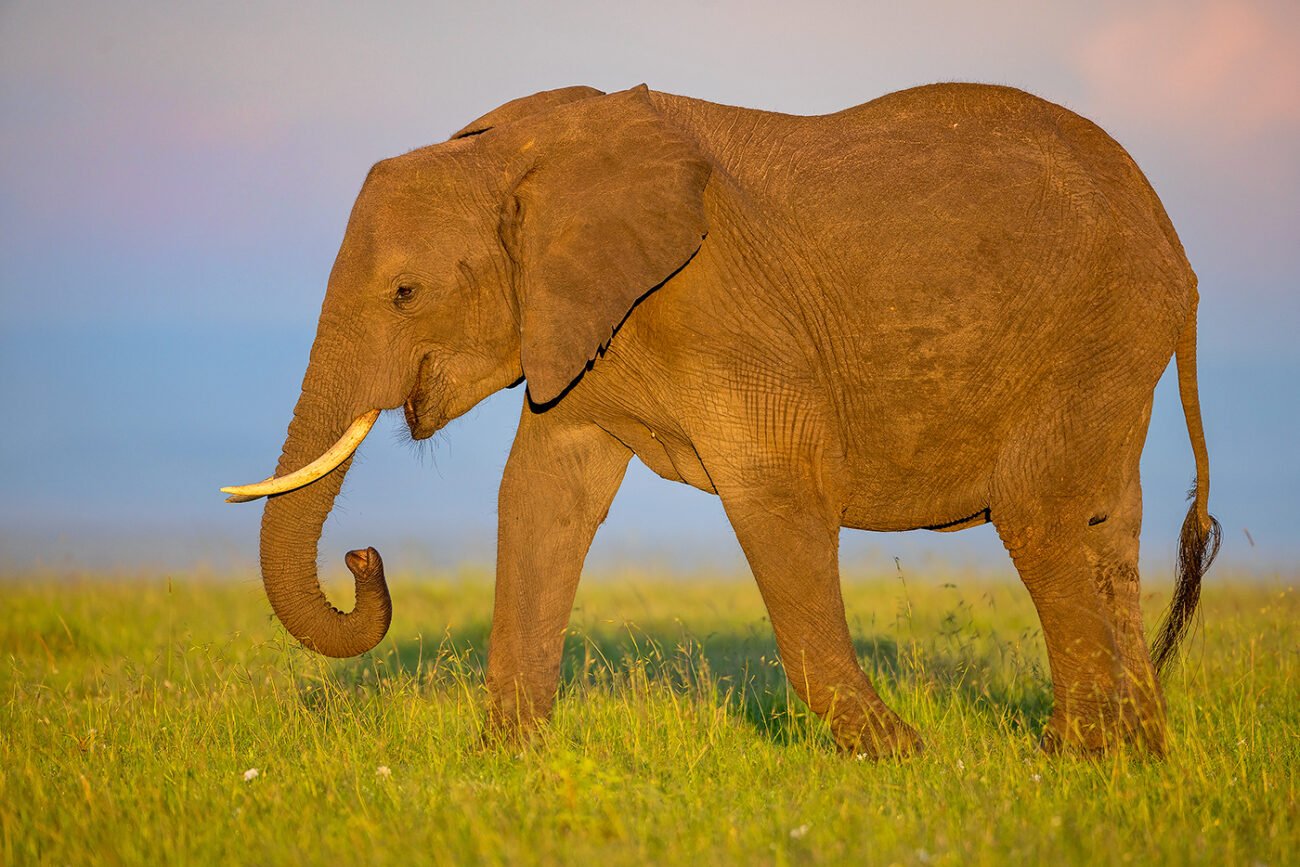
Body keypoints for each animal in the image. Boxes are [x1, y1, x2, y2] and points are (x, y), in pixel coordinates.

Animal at [224, 83, 1220, 757]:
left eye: (404, 292)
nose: (363, 557)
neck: (515, 153)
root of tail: (1176, 244)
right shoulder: (581, 323)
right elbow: (543, 496)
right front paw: (505, 758)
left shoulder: (719, 311)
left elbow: (777, 492)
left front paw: (906, 758)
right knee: (1106, 527)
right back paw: (1137, 754)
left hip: (1099, 327)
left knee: (1041, 516)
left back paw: (1070, 761)